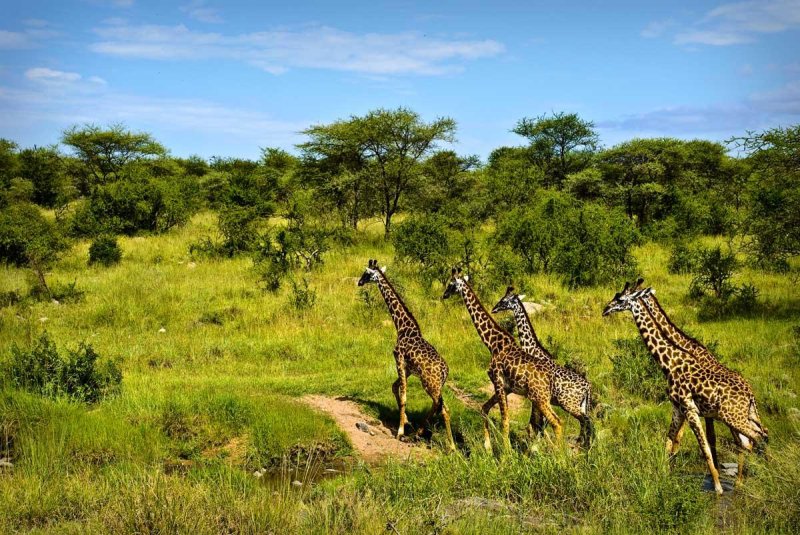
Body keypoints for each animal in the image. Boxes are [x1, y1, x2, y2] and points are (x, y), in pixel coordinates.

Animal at [358, 260, 456, 452]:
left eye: (366, 273)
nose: (359, 282)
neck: (402, 327)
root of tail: (444, 371)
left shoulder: (399, 360)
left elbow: (403, 396)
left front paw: (400, 431)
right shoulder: (409, 368)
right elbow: (395, 387)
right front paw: (406, 422)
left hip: (430, 384)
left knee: (443, 407)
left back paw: (447, 444)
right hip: (435, 385)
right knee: (439, 406)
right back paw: (424, 434)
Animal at [444, 268, 564, 452]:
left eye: (451, 284)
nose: (444, 295)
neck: (493, 343)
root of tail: (551, 378)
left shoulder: (498, 382)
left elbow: (505, 420)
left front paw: (506, 453)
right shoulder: (506, 388)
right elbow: (484, 408)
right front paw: (488, 447)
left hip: (540, 399)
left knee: (555, 423)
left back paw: (556, 454)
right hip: (542, 399)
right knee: (550, 423)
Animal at [488, 284, 592, 448]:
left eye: (504, 300)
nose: (494, 309)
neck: (531, 348)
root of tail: (588, 386)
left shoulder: (536, 395)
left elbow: (536, 422)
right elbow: (537, 423)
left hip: (569, 403)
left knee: (587, 421)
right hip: (580, 404)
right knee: (586, 422)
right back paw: (583, 444)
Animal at [604, 280, 764, 494]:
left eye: (620, 299)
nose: (605, 309)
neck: (671, 362)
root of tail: (750, 394)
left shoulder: (691, 409)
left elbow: (705, 445)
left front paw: (717, 486)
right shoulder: (680, 409)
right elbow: (671, 440)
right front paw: (665, 474)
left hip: (732, 417)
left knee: (756, 439)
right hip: (743, 416)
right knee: (750, 440)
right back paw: (744, 481)